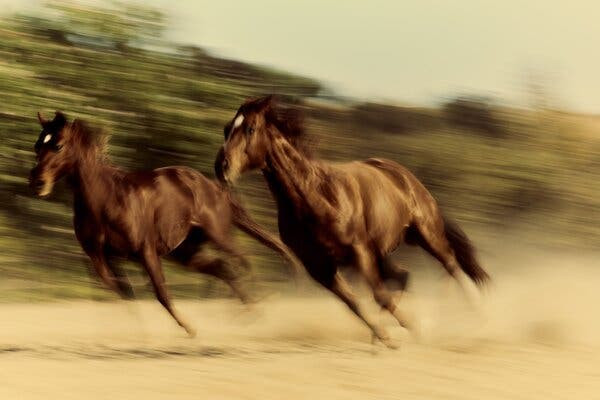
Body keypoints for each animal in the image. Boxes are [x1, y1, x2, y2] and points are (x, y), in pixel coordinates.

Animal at [29, 111, 300, 336]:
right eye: (37, 145)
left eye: (58, 145)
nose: (37, 182)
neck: (105, 199)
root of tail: (212, 187)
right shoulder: (102, 256)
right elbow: (121, 290)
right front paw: (141, 331)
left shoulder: (145, 250)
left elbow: (159, 291)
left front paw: (190, 329)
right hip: (186, 252)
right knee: (223, 268)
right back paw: (250, 310)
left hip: (218, 234)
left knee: (243, 259)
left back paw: (261, 302)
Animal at [218, 96, 490, 346]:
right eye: (226, 128)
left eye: (250, 128)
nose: (222, 167)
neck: (315, 198)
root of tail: (405, 177)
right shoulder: (319, 266)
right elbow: (354, 302)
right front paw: (386, 337)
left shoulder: (359, 251)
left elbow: (379, 295)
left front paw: (406, 332)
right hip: (382, 252)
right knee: (404, 275)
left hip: (425, 233)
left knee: (451, 264)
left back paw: (479, 314)